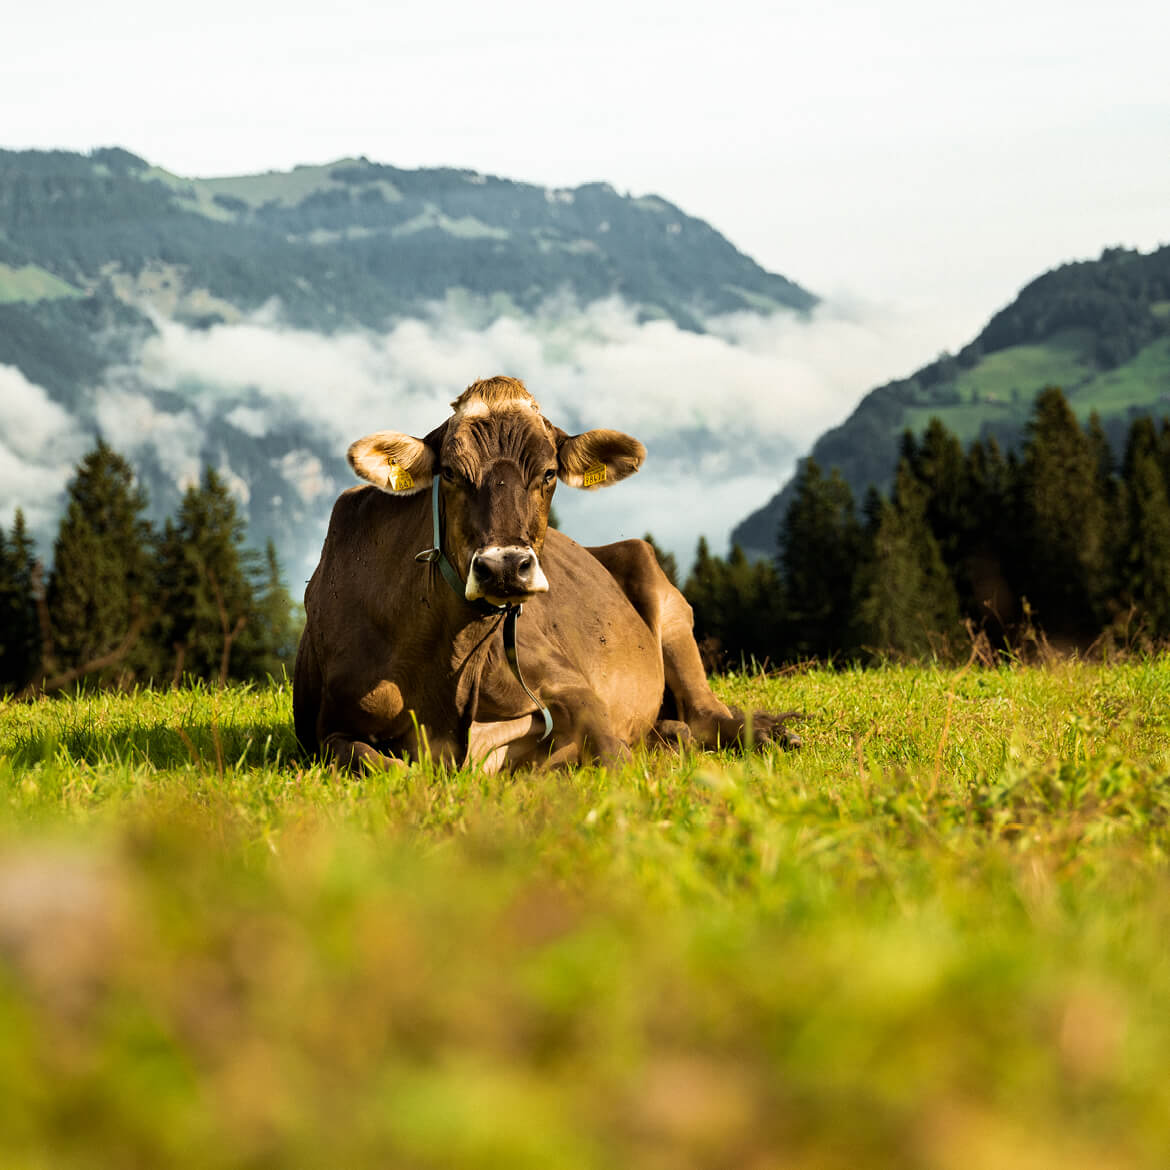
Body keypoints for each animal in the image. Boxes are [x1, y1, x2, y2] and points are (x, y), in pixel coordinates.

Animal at [294, 379, 795, 772]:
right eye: (451, 473)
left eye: (550, 472)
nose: (503, 567)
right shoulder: (326, 728)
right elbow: (372, 760)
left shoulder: (574, 687)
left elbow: (613, 755)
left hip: (667, 605)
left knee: (707, 716)